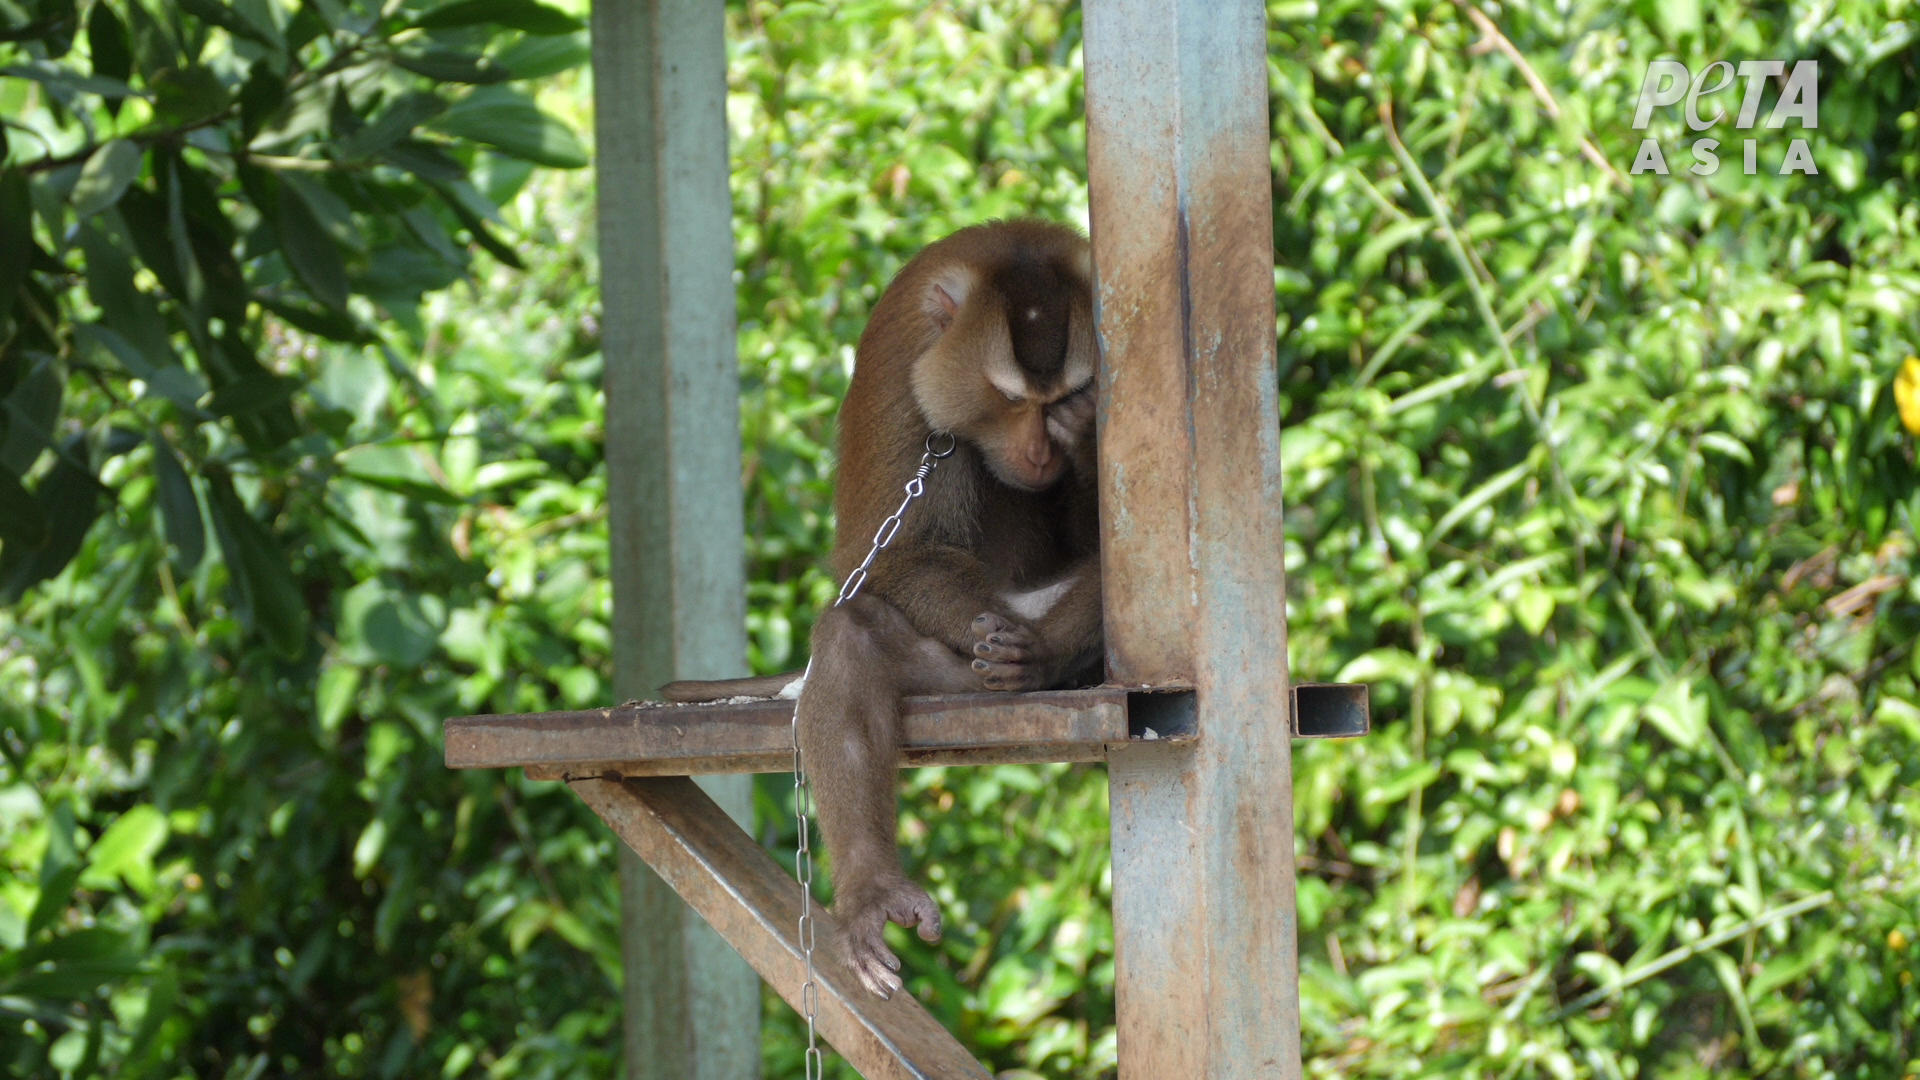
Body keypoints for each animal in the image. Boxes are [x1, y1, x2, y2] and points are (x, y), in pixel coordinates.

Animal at [664, 216, 1105, 991]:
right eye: (1012, 400)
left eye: (1060, 400)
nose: (1040, 451)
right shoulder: (902, 370)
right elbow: (890, 559)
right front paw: (994, 633)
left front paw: (1082, 437)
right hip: (946, 674)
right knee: (853, 634)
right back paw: (874, 889)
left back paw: (1043, 658)